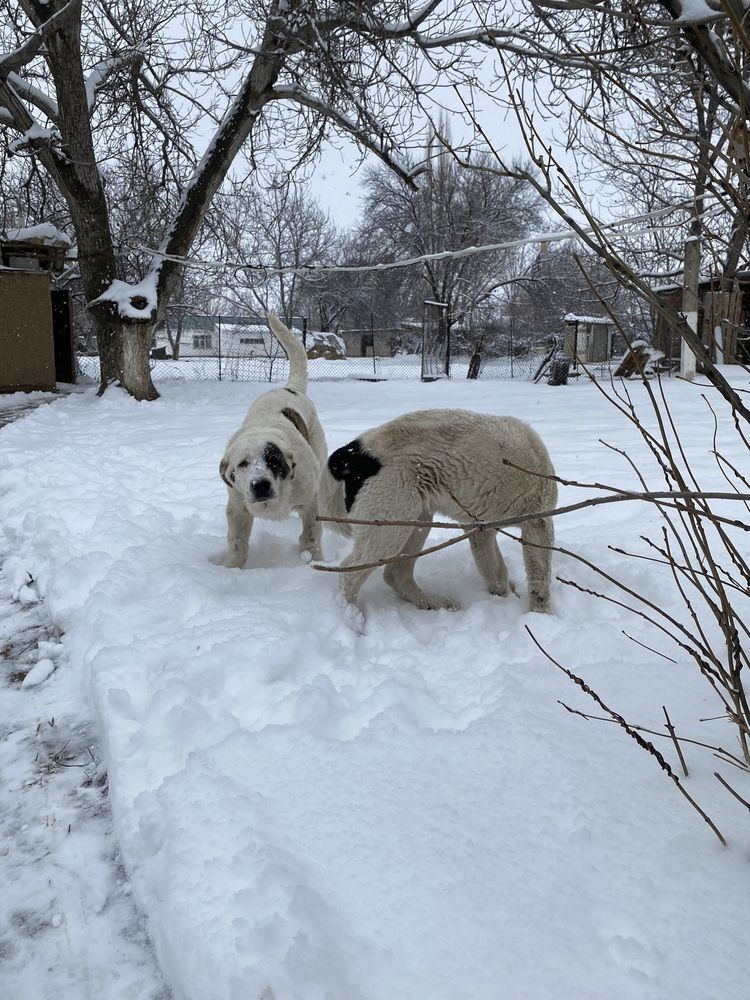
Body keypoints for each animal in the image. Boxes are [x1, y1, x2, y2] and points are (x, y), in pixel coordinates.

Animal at [216, 312, 324, 568]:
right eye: (242, 464)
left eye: (274, 461)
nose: (260, 485)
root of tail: (290, 387)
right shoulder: (237, 506)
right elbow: (237, 540)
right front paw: (232, 568)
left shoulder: (311, 501)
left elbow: (311, 534)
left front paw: (313, 560)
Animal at [318, 404, 560, 624]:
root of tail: (353, 452)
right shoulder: (537, 522)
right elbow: (539, 579)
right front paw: (541, 616)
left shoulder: (480, 528)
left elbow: (496, 572)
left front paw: (505, 596)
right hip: (390, 529)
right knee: (349, 574)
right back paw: (352, 621)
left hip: (417, 521)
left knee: (396, 574)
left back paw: (432, 603)